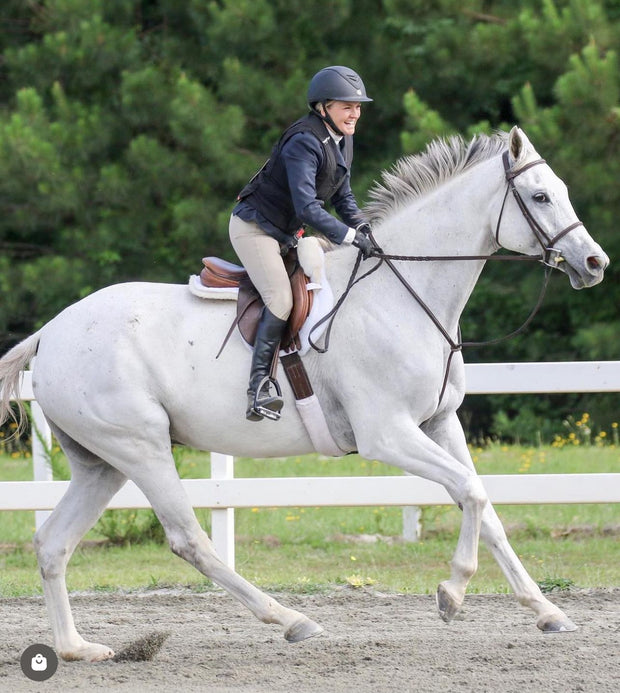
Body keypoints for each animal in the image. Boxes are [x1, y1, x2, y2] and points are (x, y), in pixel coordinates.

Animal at [0, 127, 612, 664]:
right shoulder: (387, 434)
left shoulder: (439, 423)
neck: (401, 295)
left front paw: (547, 611)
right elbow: (471, 492)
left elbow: (485, 507)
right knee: (189, 539)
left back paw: (77, 649)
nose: (595, 263)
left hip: (101, 463)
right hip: (141, 448)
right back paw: (292, 620)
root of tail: (49, 333)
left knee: (52, 543)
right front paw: (452, 593)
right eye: (540, 196)